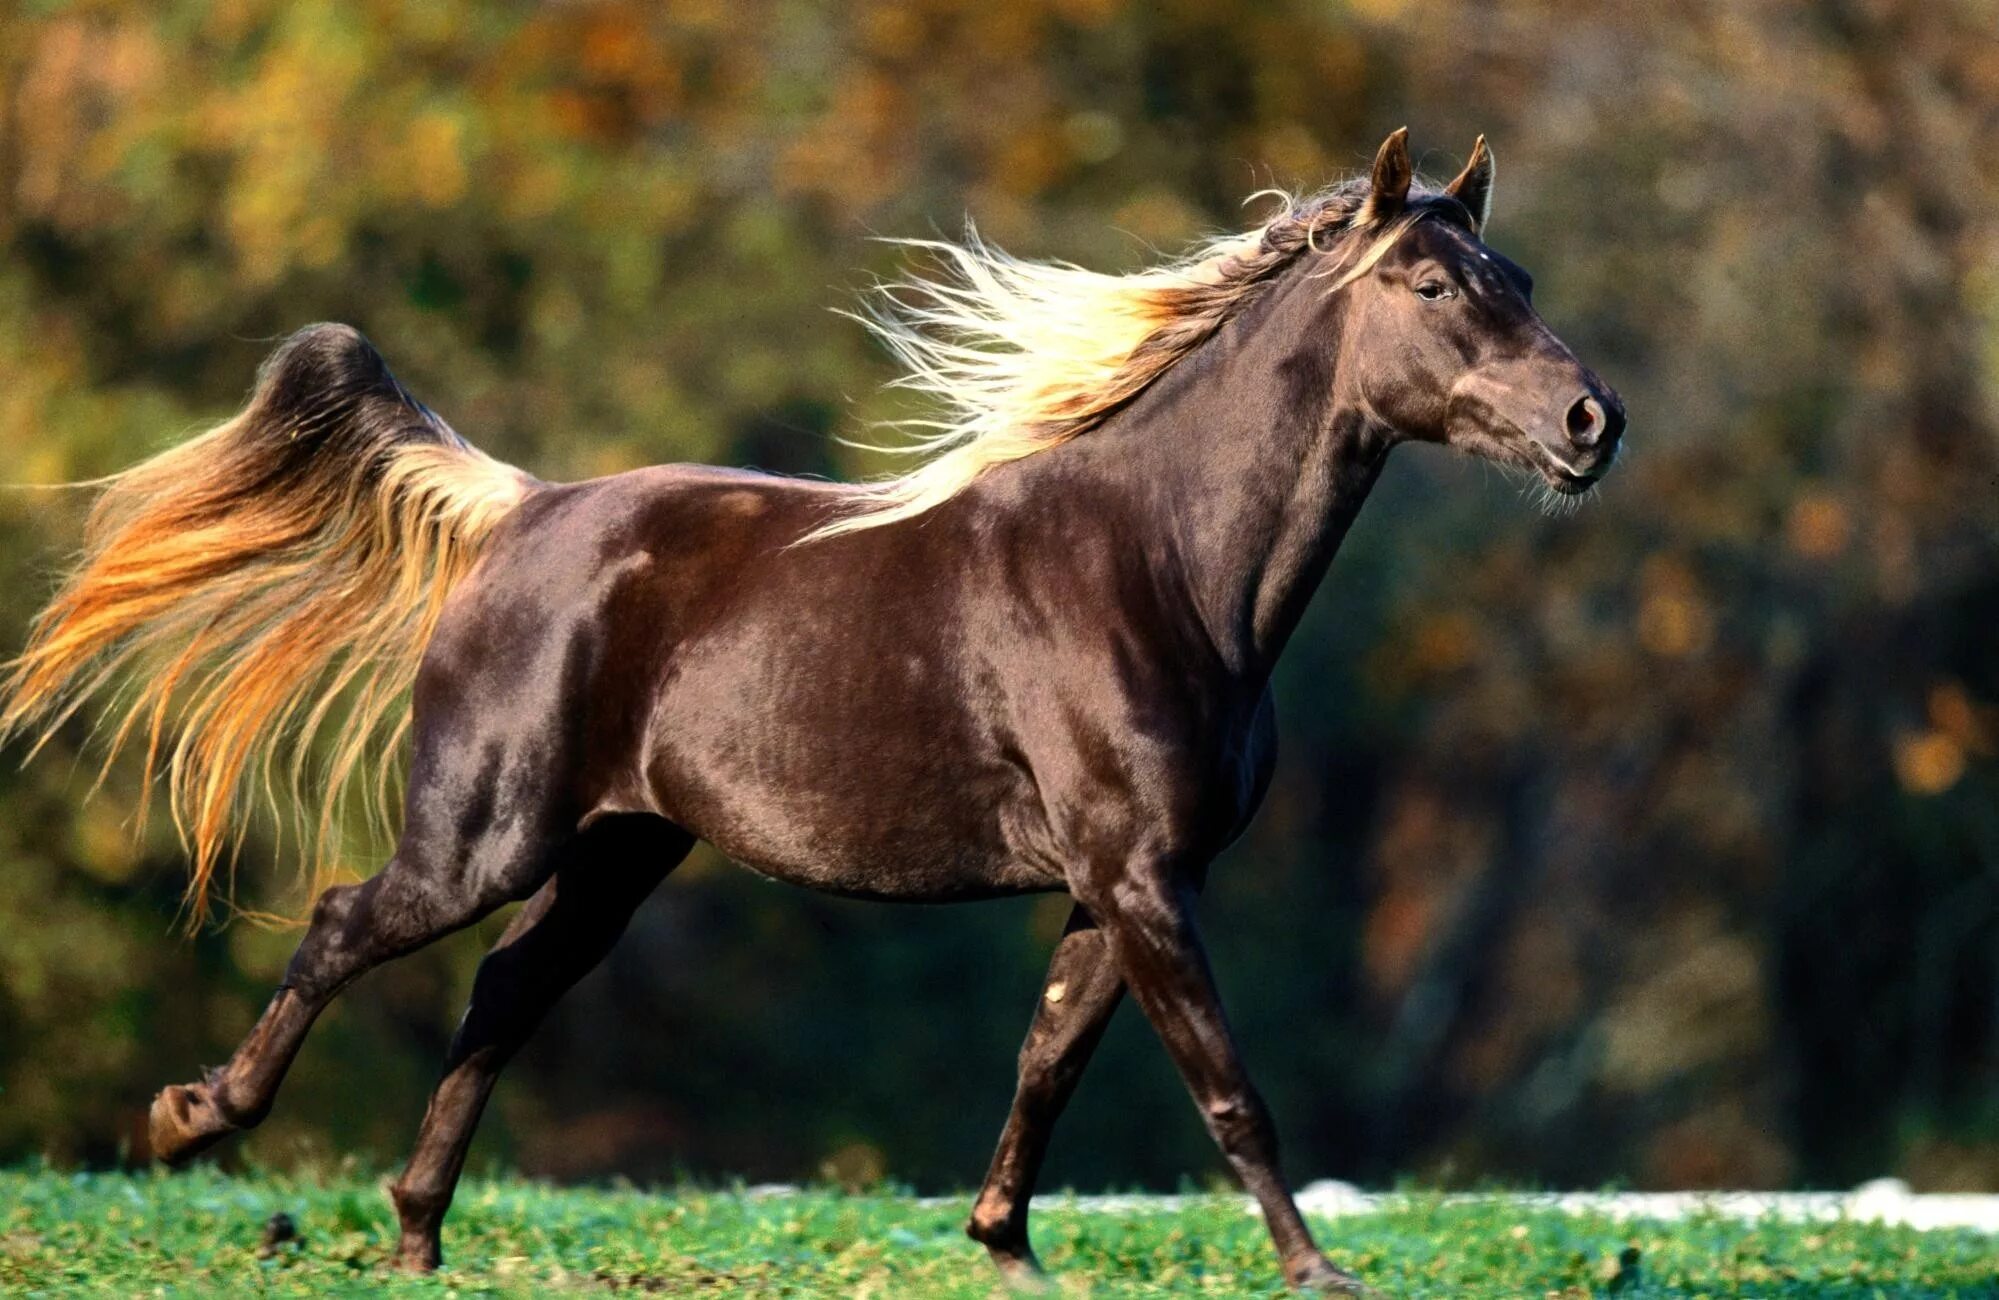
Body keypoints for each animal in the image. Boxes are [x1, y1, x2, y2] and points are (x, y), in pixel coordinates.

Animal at [3, 129, 1623, 1288]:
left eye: (1525, 280)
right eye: (1431, 287)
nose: (1589, 423)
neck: (1161, 564)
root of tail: (523, 512)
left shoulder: (1121, 886)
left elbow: (1048, 1062)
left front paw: (1004, 1251)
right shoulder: (1140, 878)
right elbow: (1224, 1086)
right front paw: (1315, 1271)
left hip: (615, 851)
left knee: (504, 994)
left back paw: (413, 1235)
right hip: (485, 837)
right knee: (350, 925)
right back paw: (199, 1122)